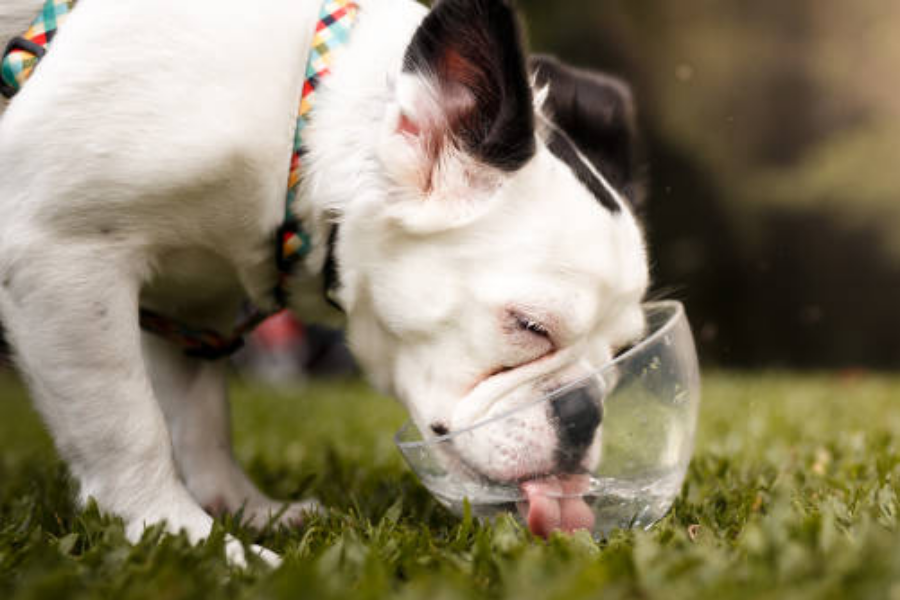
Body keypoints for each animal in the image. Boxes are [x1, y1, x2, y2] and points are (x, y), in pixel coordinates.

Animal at [0, 0, 648, 564]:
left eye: (620, 355)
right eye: (529, 326)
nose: (584, 412)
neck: (301, 133)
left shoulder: (192, 305)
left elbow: (200, 415)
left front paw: (236, 510)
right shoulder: (62, 254)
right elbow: (129, 431)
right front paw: (184, 537)